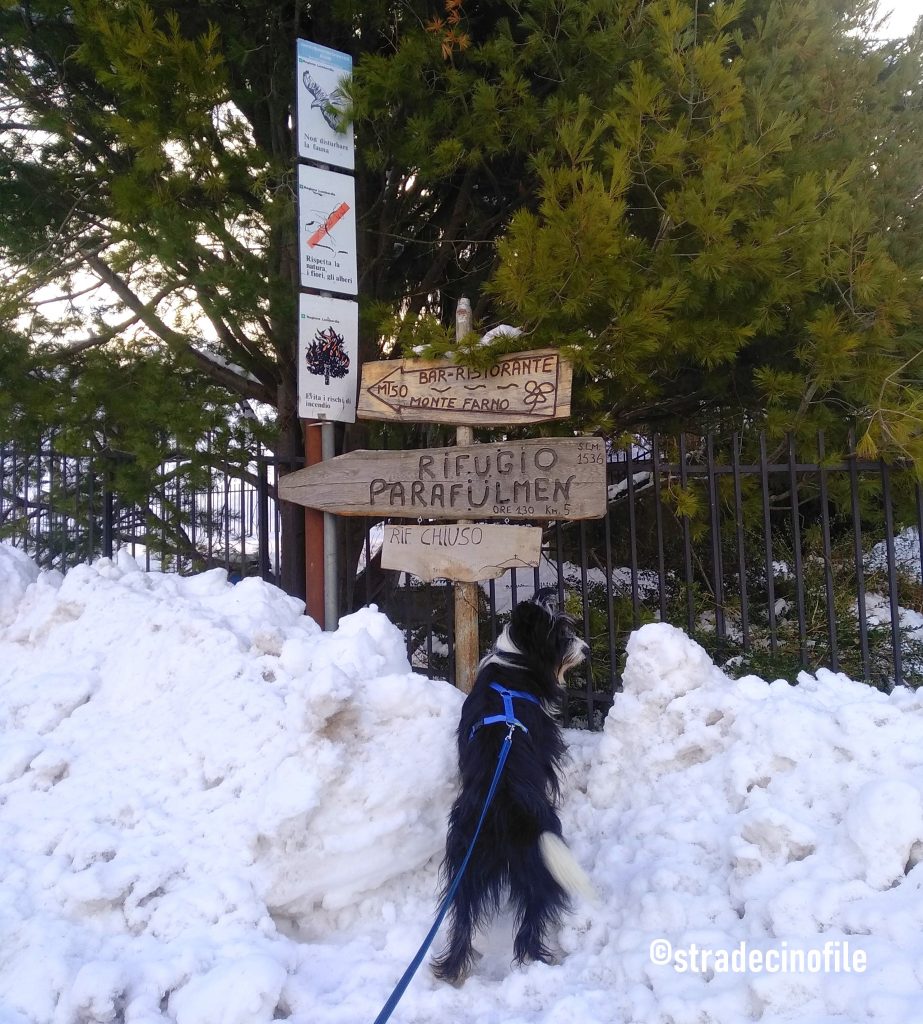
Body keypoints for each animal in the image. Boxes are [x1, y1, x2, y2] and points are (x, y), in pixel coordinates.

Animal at [430, 598, 594, 983]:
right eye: (561, 635)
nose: (586, 649)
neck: (516, 664)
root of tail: (505, 808)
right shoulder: (548, 747)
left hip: (465, 867)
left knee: (462, 919)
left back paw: (453, 968)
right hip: (539, 865)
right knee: (534, 917)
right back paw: (539, 962)